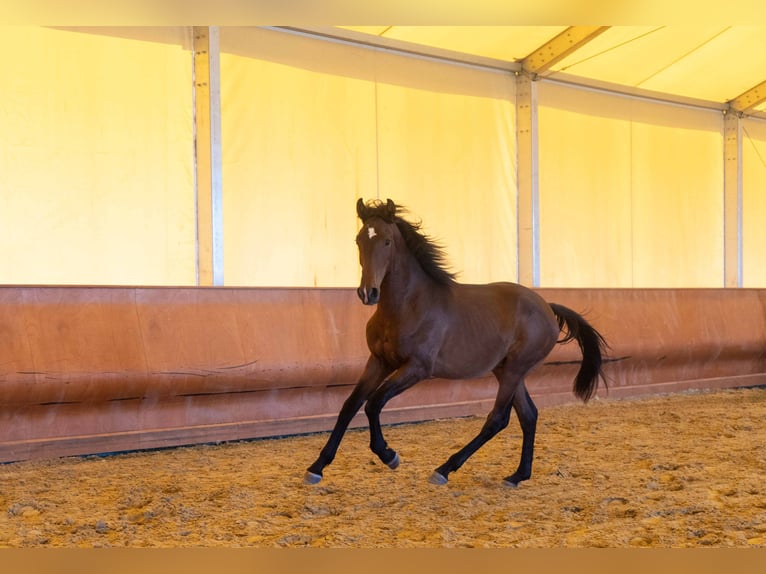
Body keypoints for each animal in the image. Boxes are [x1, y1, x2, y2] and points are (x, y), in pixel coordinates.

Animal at [304, 200, 608, 488]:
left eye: (387, 241)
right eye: (358, 240)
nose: (368, 293)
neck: (408, 305)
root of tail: (547, 306)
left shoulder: (417, 368)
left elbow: (373, 403)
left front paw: (389, 455)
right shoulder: (379, 361)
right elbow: (350, 405)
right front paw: (316, 467)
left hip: (514, 370)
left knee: (498, 418)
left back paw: (444, 470)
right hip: (506, 370)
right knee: (528, 414)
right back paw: (517, 476)